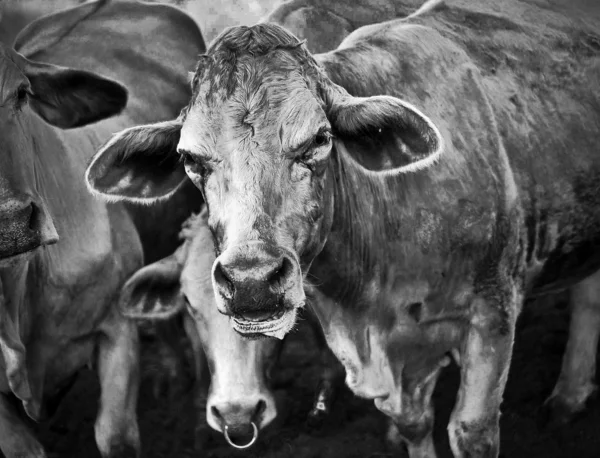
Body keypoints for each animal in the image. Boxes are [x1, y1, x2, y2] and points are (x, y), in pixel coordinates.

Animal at [84, 0, 600, 458]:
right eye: (190, 158)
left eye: (319, 139)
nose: (252, 282)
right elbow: (414, 424)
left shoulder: (492, 316)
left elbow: (472, 432)